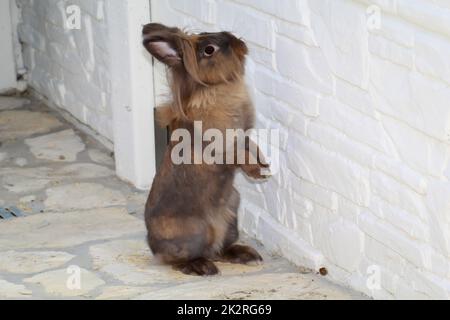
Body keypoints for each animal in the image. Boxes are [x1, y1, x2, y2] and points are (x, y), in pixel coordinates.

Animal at [142, 22, 268, 276]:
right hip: (193, 234)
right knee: (178, 260)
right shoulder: (222, 147)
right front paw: (256, 172)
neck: (217, 89)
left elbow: (252, 147)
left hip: (231, 213)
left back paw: (246, 255)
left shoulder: (244, 137)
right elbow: (240, 156)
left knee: (219, 249)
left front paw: (264, 165)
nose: (241, 44)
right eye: (209, 50)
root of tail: (153, 247)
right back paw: (201, 267)